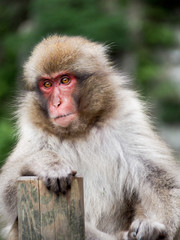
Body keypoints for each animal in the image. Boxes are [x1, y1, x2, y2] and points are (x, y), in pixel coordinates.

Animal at [0, 34, 179, 240]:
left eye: (65, 80)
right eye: (47, 84)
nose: (56, 103)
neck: (80, 130)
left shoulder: (128, 119)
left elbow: (162, 181)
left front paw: (154, 228)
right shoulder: (35, 134)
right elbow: (5, 194)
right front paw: (46, 163)